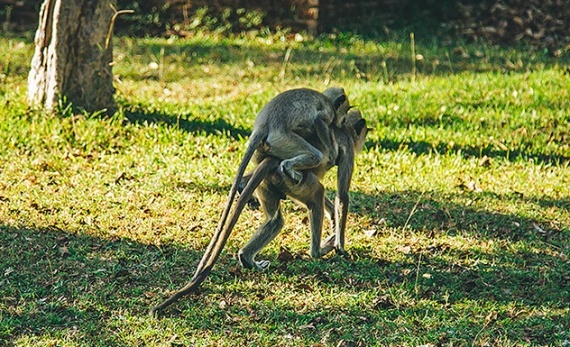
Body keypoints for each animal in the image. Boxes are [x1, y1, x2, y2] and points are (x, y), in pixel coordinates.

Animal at [149, 110, 366, 316]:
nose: (362, 142)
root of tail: (272, 160)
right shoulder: (347, 147)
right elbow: (342, 195)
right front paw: (340, 245)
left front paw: (334, 223)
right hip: (291, 179)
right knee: (316, 194)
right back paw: (317, 252)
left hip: (271, 183)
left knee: (275, 220)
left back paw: (246, 255)